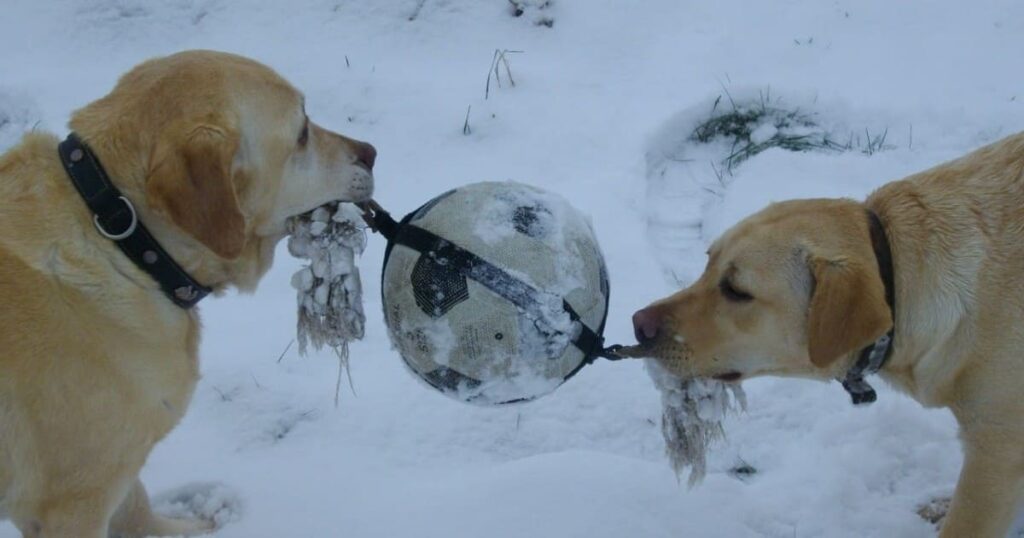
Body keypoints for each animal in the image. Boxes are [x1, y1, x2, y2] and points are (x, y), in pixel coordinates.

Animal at [0, 49, 376, 532]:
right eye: (302, 132)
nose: (371, 153)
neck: (124, 240)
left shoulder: (116, 467)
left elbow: (136, 503)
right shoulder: (70, 503)